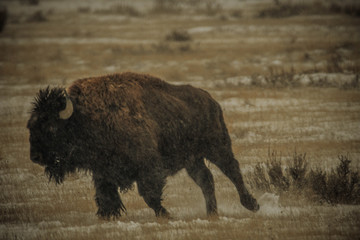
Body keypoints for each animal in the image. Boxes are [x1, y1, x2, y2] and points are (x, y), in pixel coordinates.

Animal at [28, 72, 258, 218]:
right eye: (30, 126)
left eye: (51, 127)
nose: (35, 157)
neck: (85, 116)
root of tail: (211, 100)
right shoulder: (102, 172)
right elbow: (106, 196)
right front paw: (106, 215)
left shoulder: (147, 167)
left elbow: (149, 195)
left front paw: (166, 214)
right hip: (192, 159)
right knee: (206, 180)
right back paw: (212, 213)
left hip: (216, 147)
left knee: (232, 170)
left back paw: (251, 204)